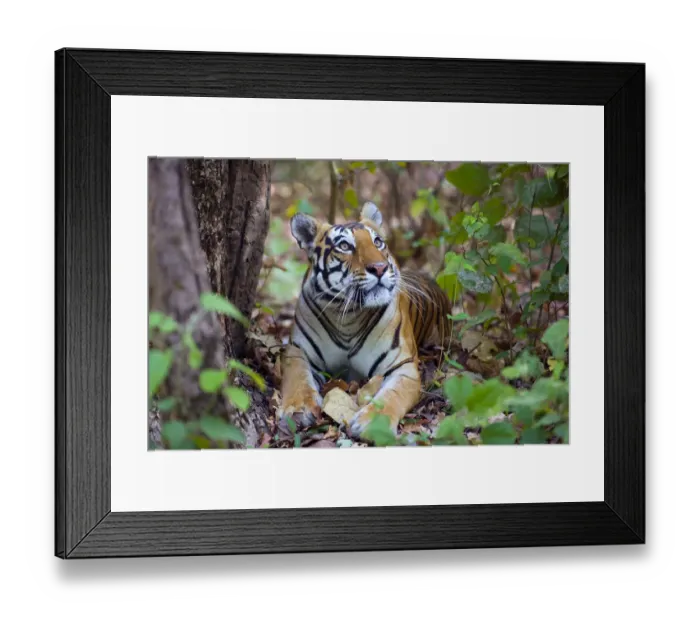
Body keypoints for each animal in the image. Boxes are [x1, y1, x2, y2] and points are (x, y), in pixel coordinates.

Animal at [278, 202, 452, 443]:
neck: (348, 316)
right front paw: (298, 408)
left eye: (377, 242)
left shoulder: (403, 366)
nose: (379, 268)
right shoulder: (297, 351)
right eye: (344, 246)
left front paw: (374, 424)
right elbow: (298, 379)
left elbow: (392, 396)